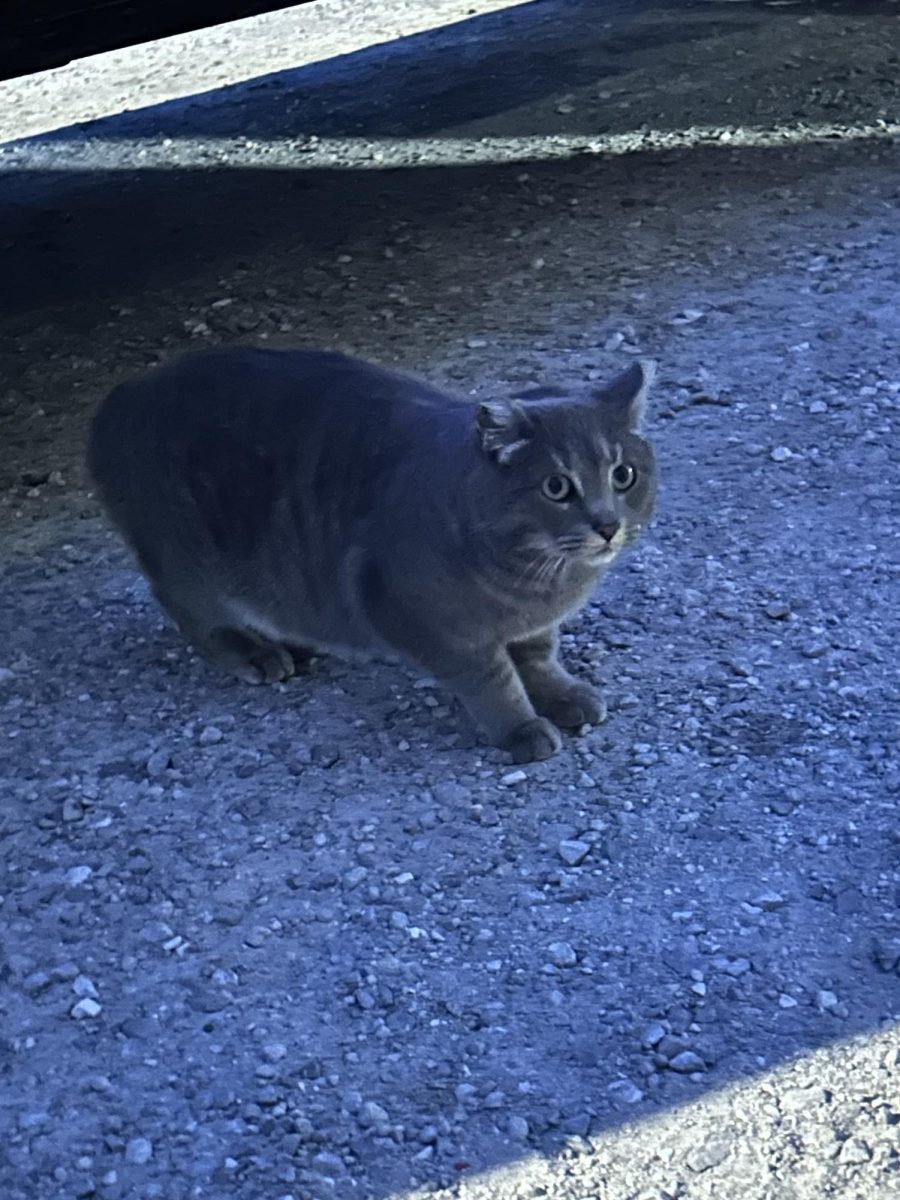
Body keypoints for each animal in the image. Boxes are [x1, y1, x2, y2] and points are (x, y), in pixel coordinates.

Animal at [88, 348, 657, 758]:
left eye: (623, 474)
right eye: (557, 487)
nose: (608, 524)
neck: (541, 577)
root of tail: (120, 399)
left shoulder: (532, 624)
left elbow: (538, 656)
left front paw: (562, 694)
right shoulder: (418, 617)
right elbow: (490, 679)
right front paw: (519, 728)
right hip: (193, 559)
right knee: (187, 607)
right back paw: (252, 651)